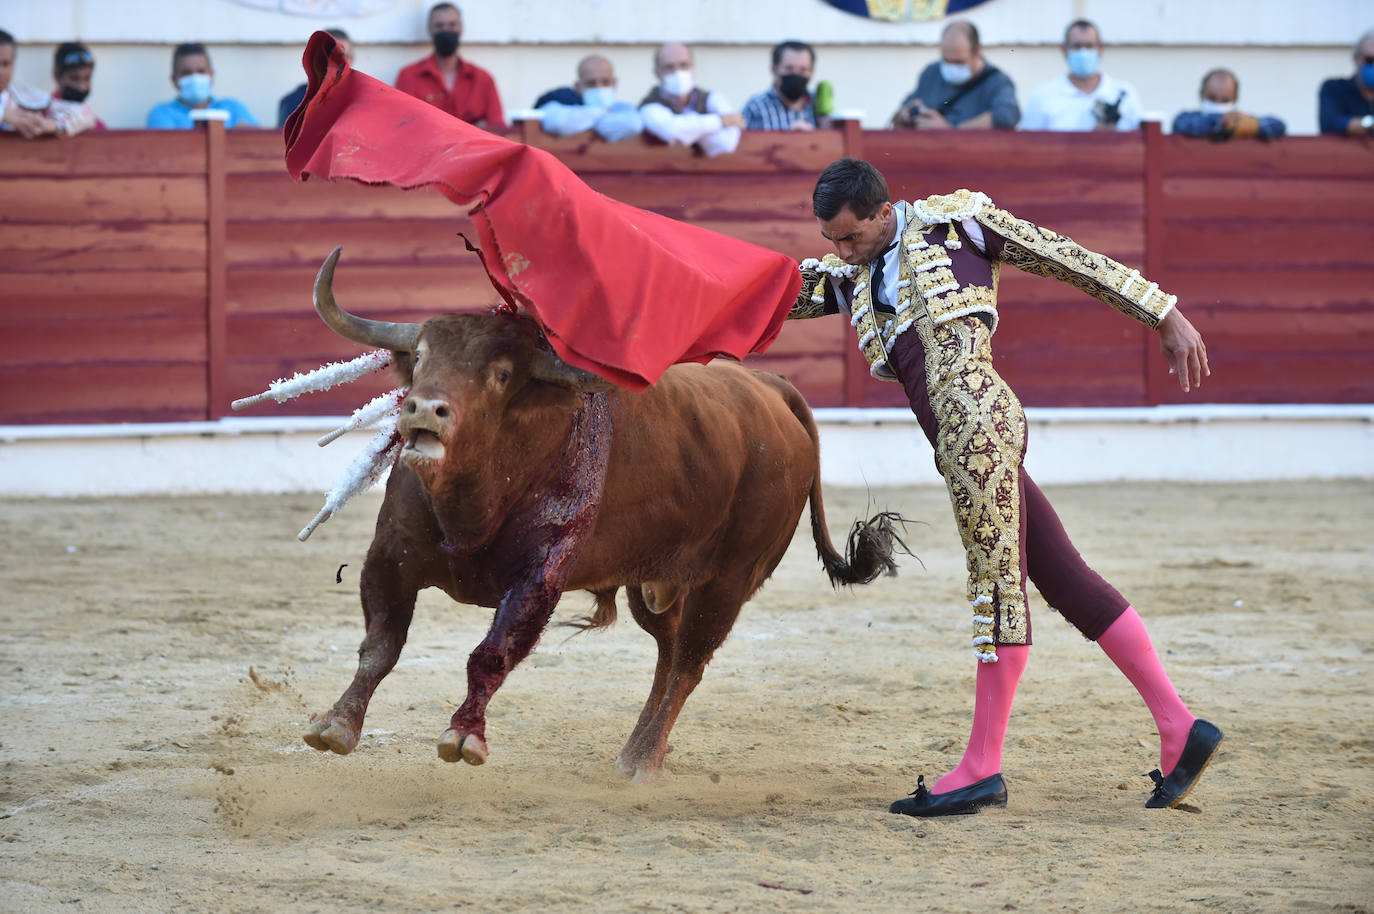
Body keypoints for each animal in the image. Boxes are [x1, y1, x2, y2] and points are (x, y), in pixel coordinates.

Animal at [300, 250, 901, 775]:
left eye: (501, 375)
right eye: (421, 357)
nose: (424, 409)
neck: (472, 500)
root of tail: (773, 389)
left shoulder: (539, 576)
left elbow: (490, 653)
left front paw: (464, 735)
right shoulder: (390, 557)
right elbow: (380, 645)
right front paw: (335, 726)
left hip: (730, 580)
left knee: (690, 663)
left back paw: (643, 762)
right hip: (655, 582)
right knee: (669, 654)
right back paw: (638, 750)